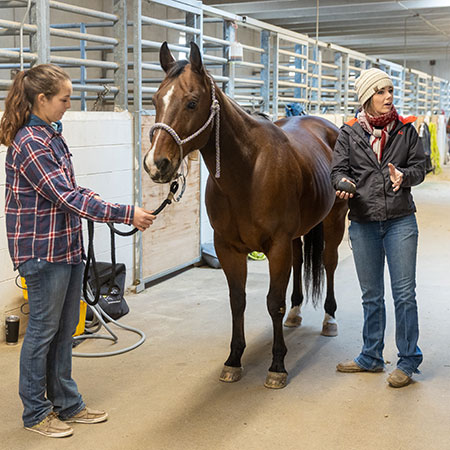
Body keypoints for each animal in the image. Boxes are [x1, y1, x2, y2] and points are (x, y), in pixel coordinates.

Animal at [144, 40, 348, 388]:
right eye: (156, 100)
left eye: (192, 102)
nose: (156, 164)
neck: (249, 171)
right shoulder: (228, 247)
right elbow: (237, 300)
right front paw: (234, 360)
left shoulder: (275, 247)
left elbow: (273, 302)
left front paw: (277, 366)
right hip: (296, 236)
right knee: (299, 261)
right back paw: (296, 313)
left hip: (335, 220)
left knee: (330, 263)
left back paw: (329, 319)